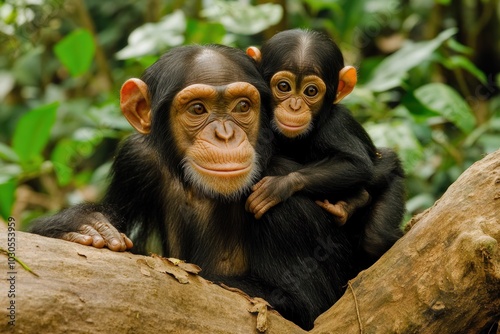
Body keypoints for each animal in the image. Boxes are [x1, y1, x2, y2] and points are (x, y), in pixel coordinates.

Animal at [29, 43, 354, 328]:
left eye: (242, 106)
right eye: (198, 109)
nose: (225, 135)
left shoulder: (285, 203)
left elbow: (301, 304)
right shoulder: (134, 159)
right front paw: (86, 225)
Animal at [246, 29, 406, 266]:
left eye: (311, 91)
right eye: (284, 86)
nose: (295, 106)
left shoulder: (335, 126)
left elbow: (355, 164)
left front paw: (280, 185)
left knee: (376, 236)